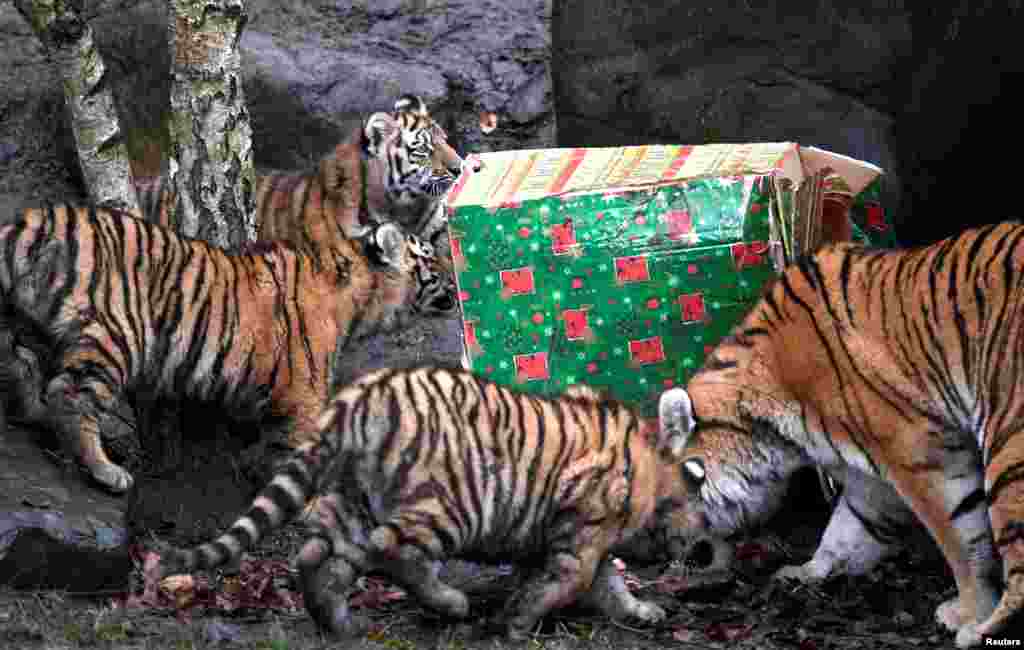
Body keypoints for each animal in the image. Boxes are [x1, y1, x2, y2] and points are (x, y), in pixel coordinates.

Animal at [0, 203, 457, 494]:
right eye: (432, 259)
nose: (457, 281)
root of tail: (32, 222)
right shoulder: (305, 396)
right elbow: (301, 454)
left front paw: (253, 466)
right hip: (116, 333)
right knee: (70, 394)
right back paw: (105, 471)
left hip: (24, 324)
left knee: (23, 367)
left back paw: (36, 416)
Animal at [158, 365, 731, 639]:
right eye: (699, 480)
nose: (705, 548)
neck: (646, 466)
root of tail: (357, 397)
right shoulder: (584, 533)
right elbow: (571, 582)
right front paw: (517, 625)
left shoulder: (583, 538)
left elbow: (608, 585)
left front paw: (642, 611)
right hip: (448, 504)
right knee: (394, 550)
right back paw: (450, 603)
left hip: (355, 499)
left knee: (317, 553)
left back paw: (337, 623)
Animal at [656, 221, 1024, 647]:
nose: (664, 546)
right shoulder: (873, 481)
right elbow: (846, 529)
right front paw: (806, 572)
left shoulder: (921, 454)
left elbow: (960, 540)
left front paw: (969, 611)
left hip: (1008, 441)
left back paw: (983, 630)